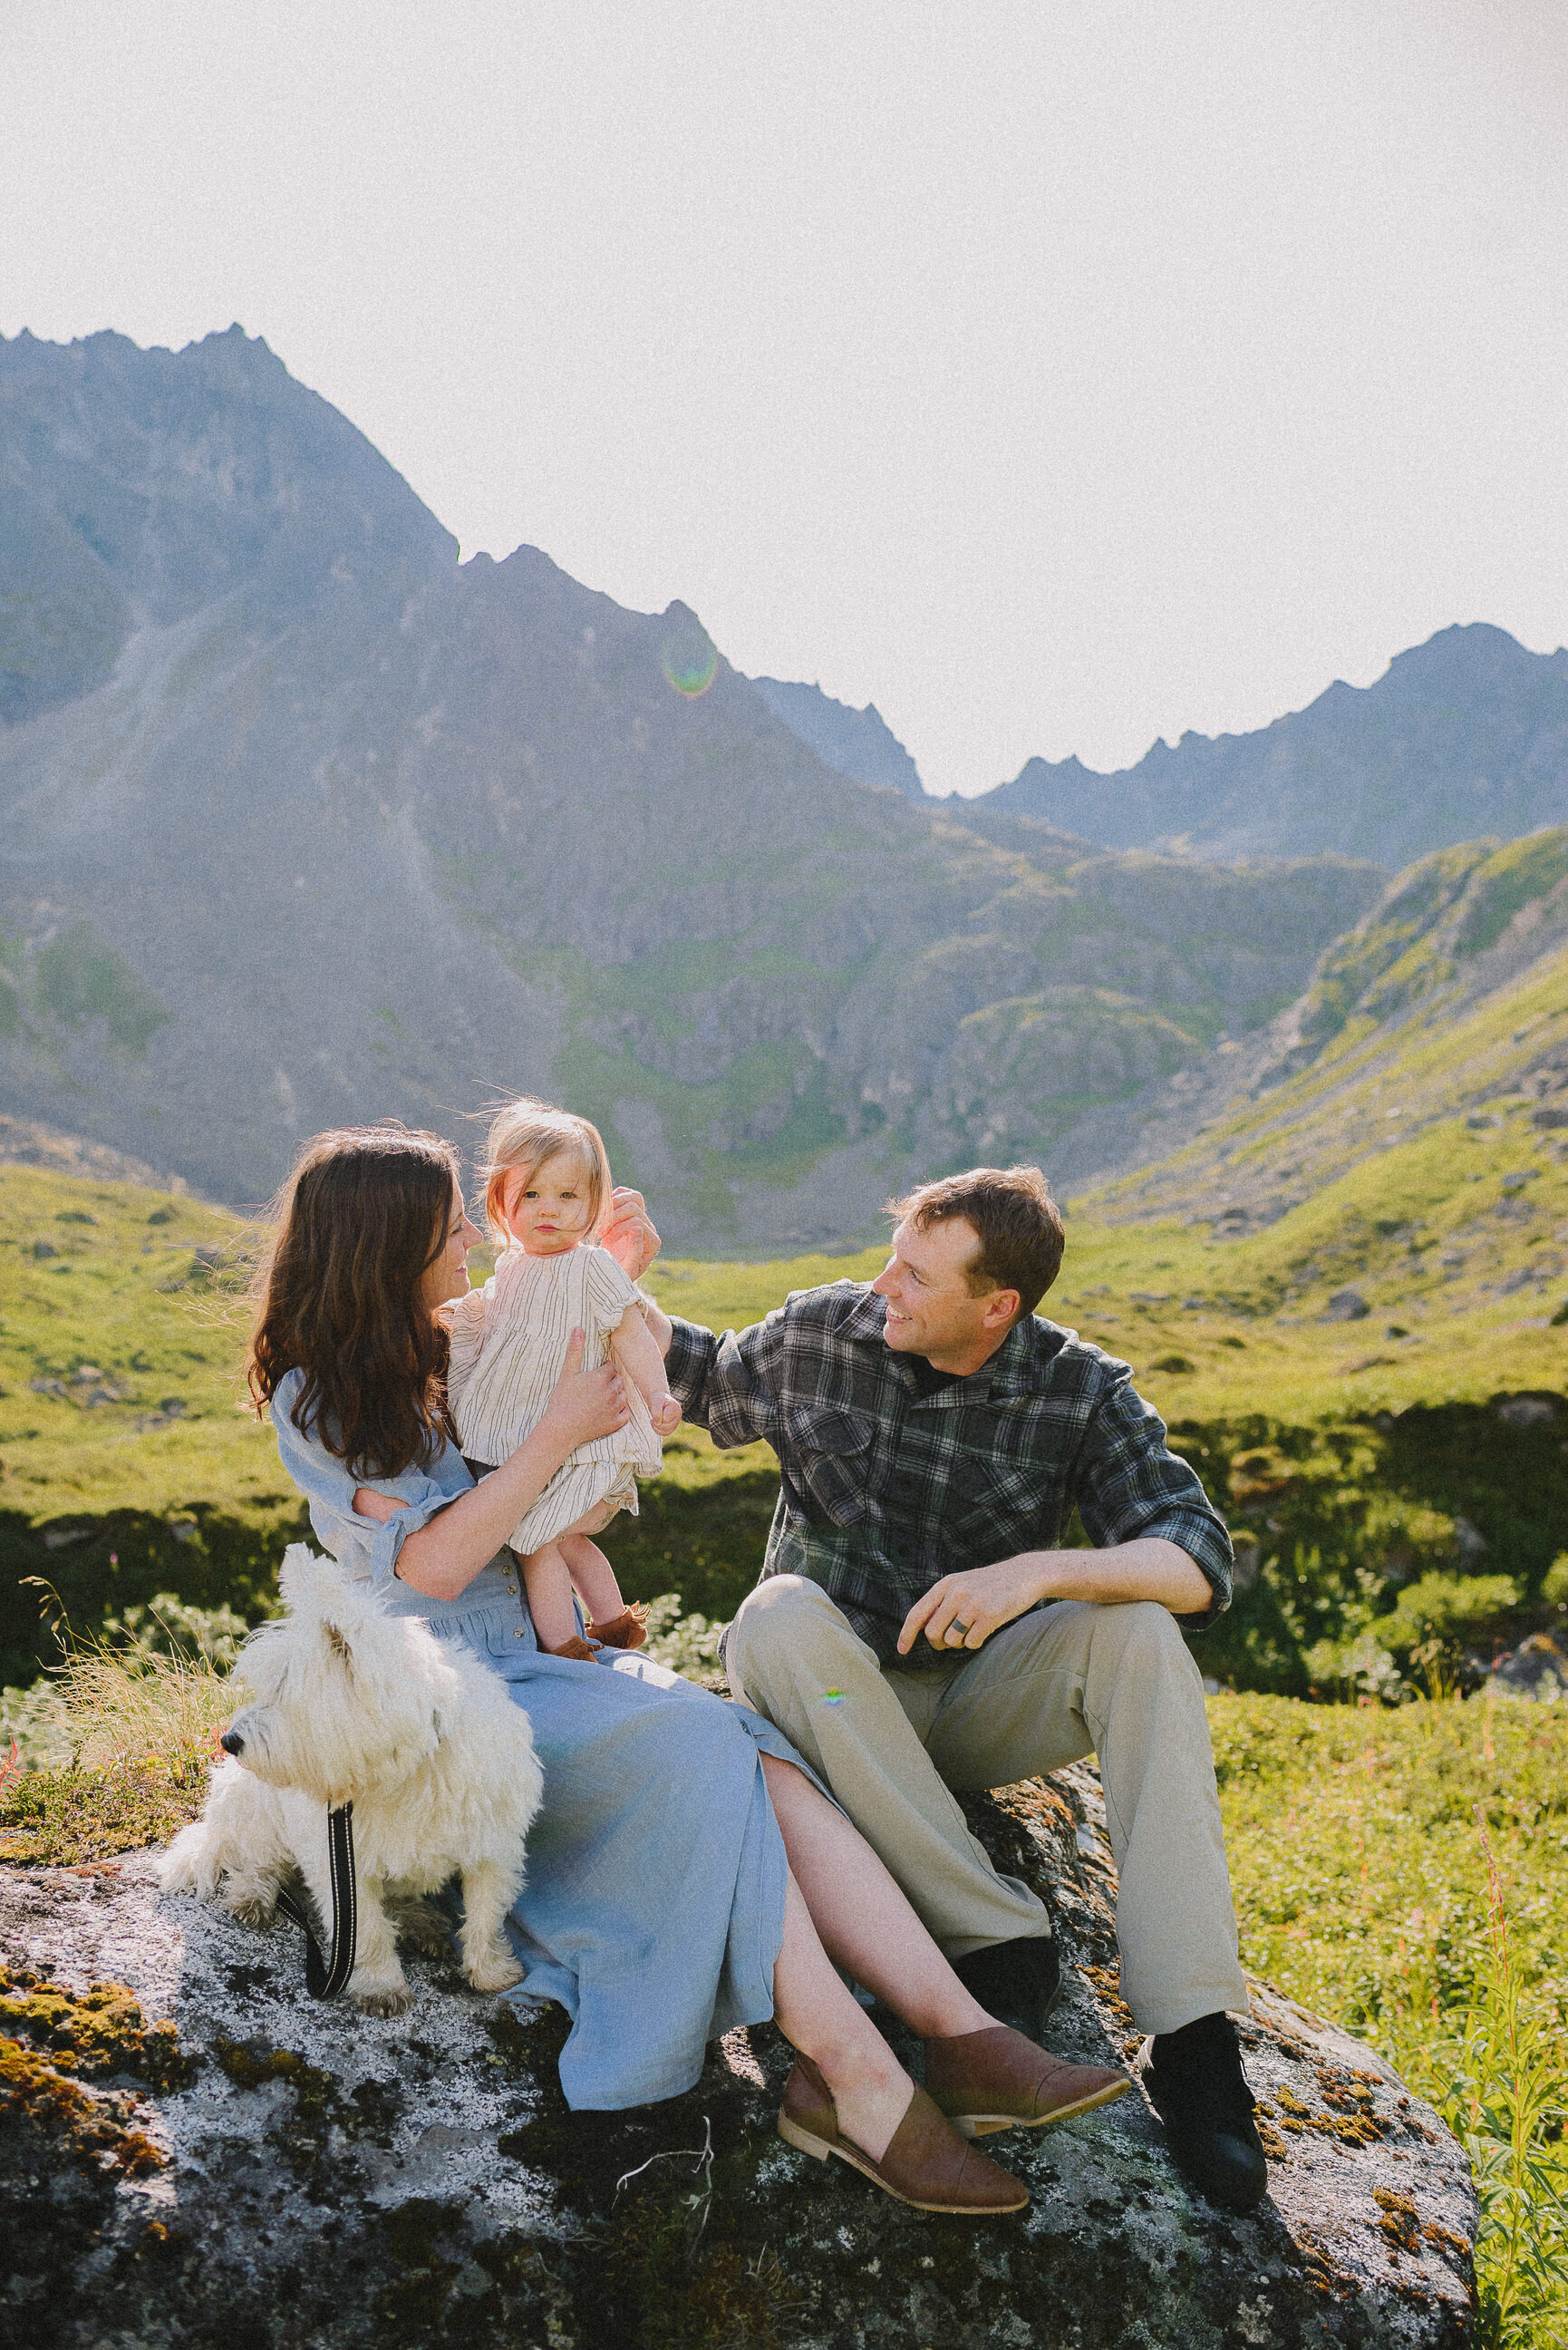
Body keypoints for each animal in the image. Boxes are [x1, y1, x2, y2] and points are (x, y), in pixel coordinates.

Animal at [160, 1541, 540, 2021]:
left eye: (283, 1690)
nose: (229, 1741)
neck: (406, 1769)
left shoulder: (493, 1847)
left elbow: (486, 1913)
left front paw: (490, 1972)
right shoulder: (338, 1860)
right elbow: (367, 1928)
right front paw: (381, 1985)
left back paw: (421, 1921)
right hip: (252, 1808)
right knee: (256, 1859)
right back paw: (253, 1897)